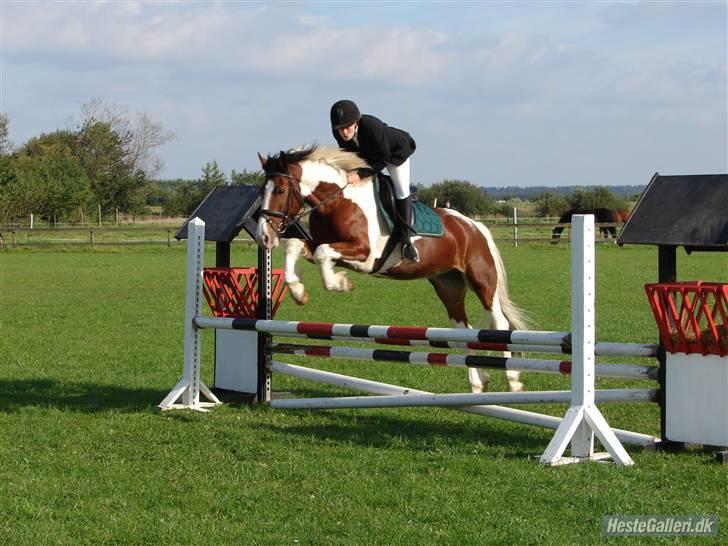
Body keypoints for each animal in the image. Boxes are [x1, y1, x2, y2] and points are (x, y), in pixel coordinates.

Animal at [256, 144, 528, 392]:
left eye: (280, 189)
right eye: (261, 190)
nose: (264, 237)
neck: (337, 201)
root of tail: (473, 226)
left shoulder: (364, 255)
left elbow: (323, 253)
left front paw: (340, 283)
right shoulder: (319, 245)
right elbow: (296, 246)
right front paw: (298, 292)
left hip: (481, 280)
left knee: (499, 323)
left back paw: (512, 380)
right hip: (448, 285)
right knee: (464, 333)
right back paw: (478, 382)